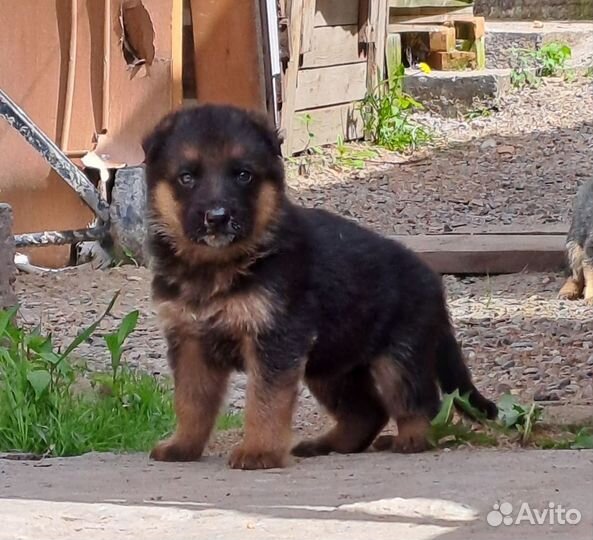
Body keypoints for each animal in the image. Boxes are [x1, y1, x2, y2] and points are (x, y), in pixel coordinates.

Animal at [142, 104, 494, 468]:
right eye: (187, 177)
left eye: (243, 175)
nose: (217, 217)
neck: (216, 266)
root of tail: (433, 283)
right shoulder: (190, 342)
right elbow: (191, 401)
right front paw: (183, 446)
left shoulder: (276, 340)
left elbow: (265, 401)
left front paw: (259, 451)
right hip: (332, 365)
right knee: (367, 412)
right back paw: (326, 444)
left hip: (398, 358)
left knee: (419, 403)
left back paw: (411, 440)